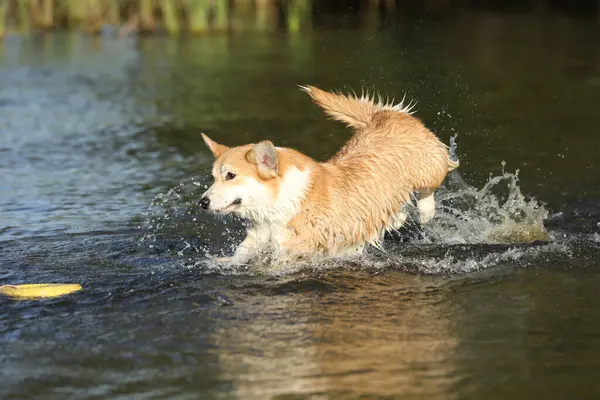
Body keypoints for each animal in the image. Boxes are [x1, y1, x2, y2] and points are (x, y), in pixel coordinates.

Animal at [199, 85, 458, 262]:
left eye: (230, 175)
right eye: (213, 177)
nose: (202, 203)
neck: (281, 201)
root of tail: (383, 114)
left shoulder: (300, 243)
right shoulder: (257, 235)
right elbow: (242, 253)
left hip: (428, 167)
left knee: (431, 186)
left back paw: (425, 212)